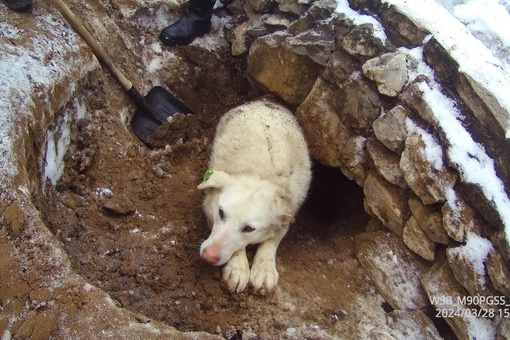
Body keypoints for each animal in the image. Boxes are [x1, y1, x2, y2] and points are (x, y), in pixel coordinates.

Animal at [198, 97, 310, 294]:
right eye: (221, 213)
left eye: (249, 229)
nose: (208, 256)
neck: (261, 174)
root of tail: (264, 101)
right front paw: (237, 267)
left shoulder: (286, 217)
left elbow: (270, 241)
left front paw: (264, 269)